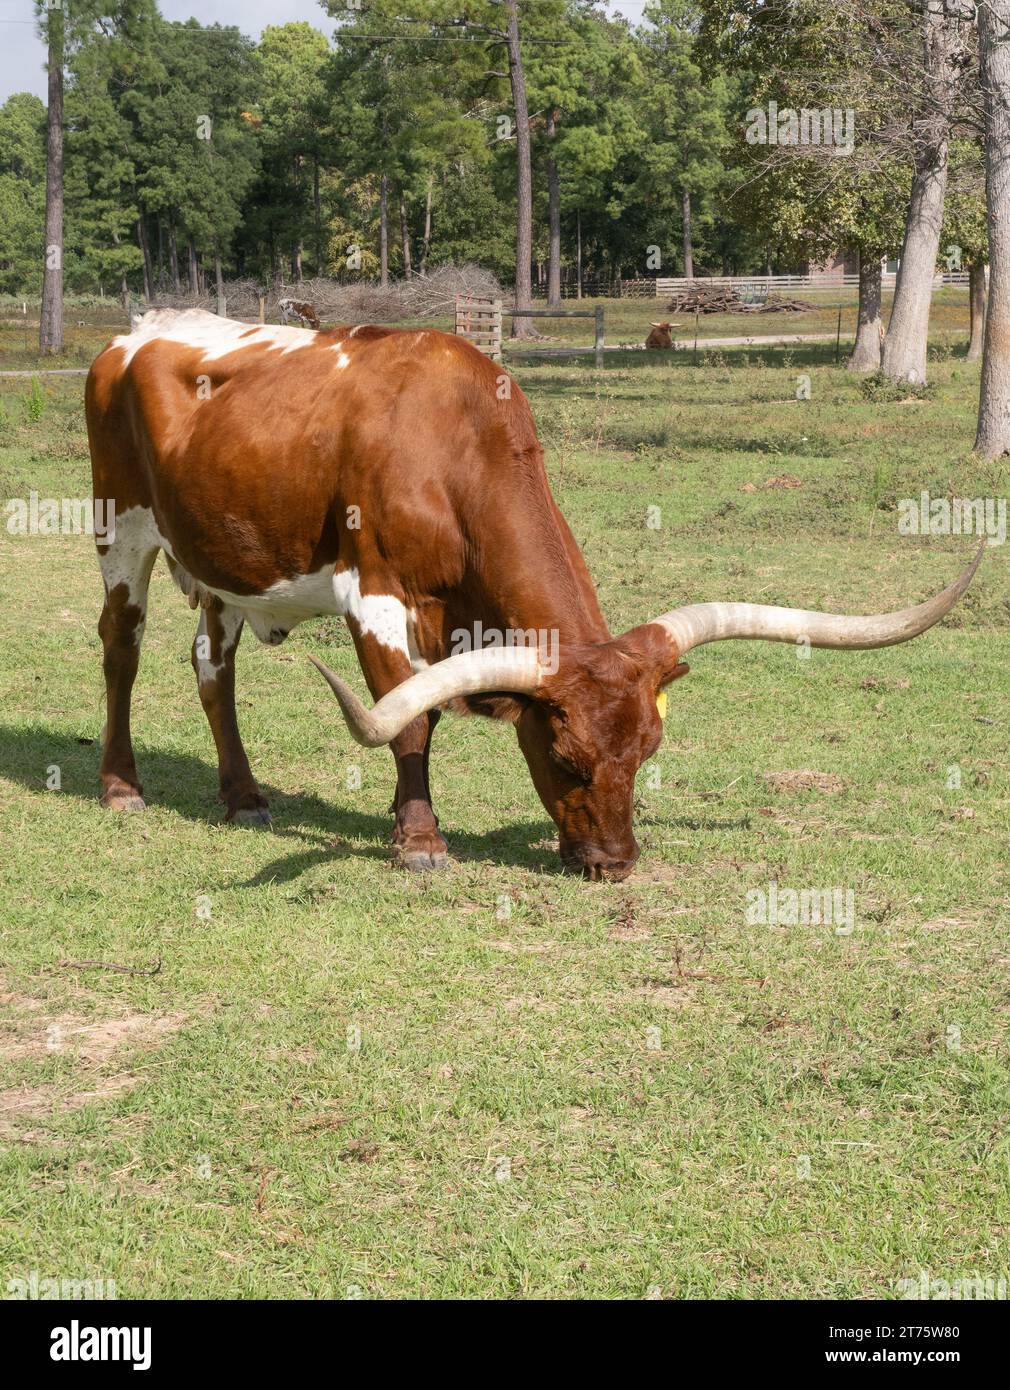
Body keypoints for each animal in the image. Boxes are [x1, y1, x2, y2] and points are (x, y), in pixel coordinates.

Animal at [86, 309, 981, 881]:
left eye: (647, 752)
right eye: (563, 758)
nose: (614, 865)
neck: (453, 445)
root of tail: (132, 334)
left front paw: (401, 820)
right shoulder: (373, 594)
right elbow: (409, 722)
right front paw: (420, 841)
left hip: (219, 565)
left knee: (212, 665)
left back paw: (242, 796)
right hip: (121, 530)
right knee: (121, 649)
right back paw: (121, 787)